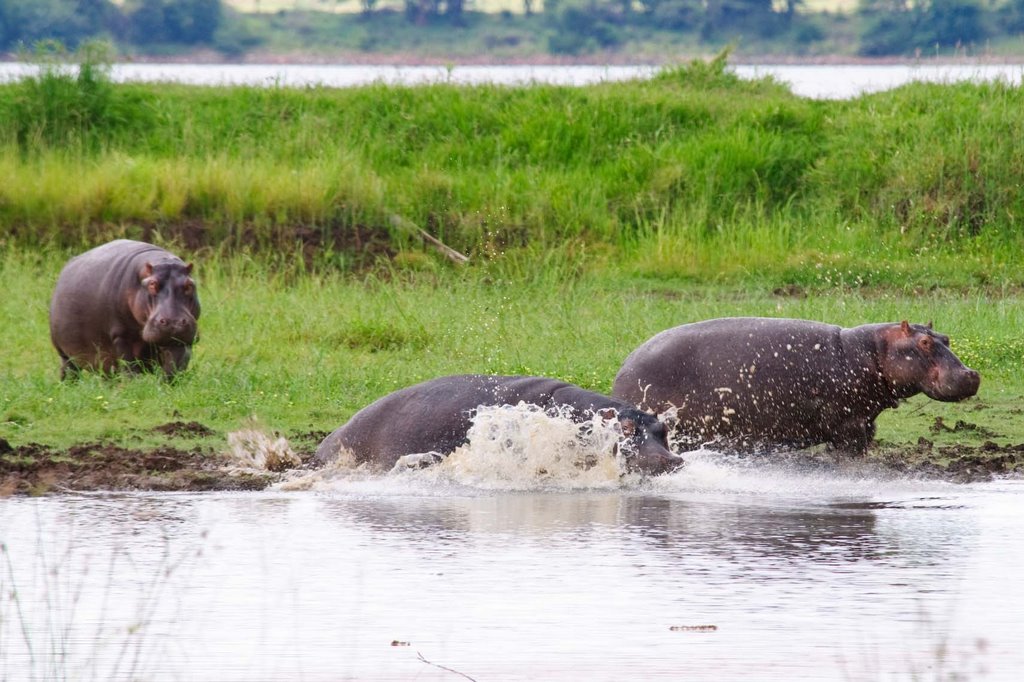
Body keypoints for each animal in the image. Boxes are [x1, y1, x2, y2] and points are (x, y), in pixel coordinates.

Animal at [48, 238, 199, 376]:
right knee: (69, 372)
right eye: (152, 284)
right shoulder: (121, 336)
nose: (174, 322)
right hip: (66, 355)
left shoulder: (180, 340)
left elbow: (173, 369)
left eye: (189, 285)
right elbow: (130, 366)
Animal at [610, 315, 978, 454]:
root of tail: (622, 370)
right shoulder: (850, 426)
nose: (972, 374)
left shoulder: (865, 423)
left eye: (946, 337)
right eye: (925, 343)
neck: (873, 351)